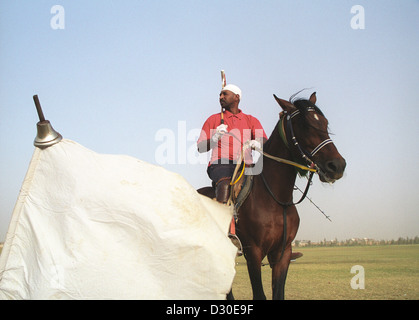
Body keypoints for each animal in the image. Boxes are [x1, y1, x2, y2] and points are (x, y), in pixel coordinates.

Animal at [199, 92, 346, 300]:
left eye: (325, 123)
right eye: (305, 125)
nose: (337, 165)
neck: (276, 199)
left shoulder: (283, 252)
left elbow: (279, 293)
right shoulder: (253, 252)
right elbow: (259, 295)